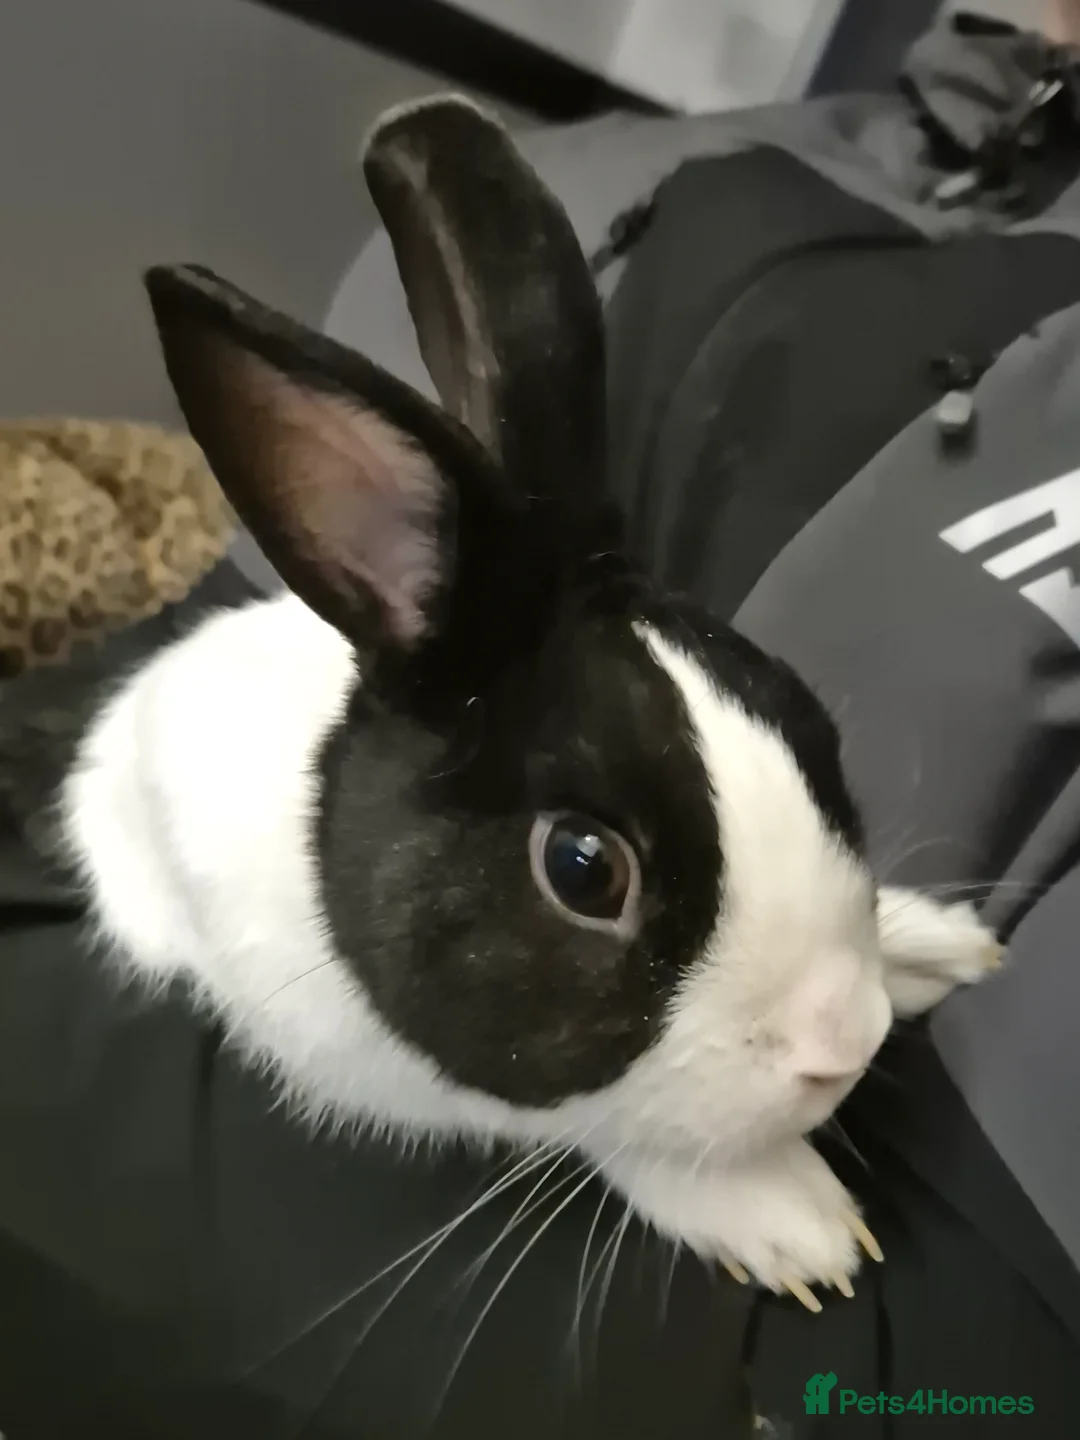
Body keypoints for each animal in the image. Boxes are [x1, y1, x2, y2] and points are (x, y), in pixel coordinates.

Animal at [59, 95, 1002, 1309]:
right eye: (584, 870)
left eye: (812, 729)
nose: (845, 1040)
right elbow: (599, 1120)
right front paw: (792, 1217)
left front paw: (940, 947)